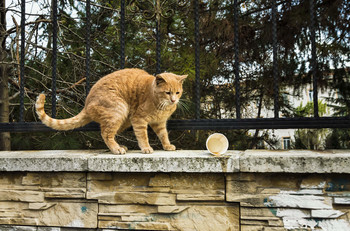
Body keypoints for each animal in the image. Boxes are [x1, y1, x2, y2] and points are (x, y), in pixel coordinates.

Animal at [36, 67, 187, 154]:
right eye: (168, 93)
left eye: (177, 92)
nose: (174, 100)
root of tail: (86, 103)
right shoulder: (138, 119)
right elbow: (143, 136)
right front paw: (146, 148)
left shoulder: (159, 123)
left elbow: (164, 135)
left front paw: (167, 146)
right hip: (119, 109)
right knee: (106, 133)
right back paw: (117, 149)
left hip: (123, 120)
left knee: (109, 132)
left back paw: (120, 146)